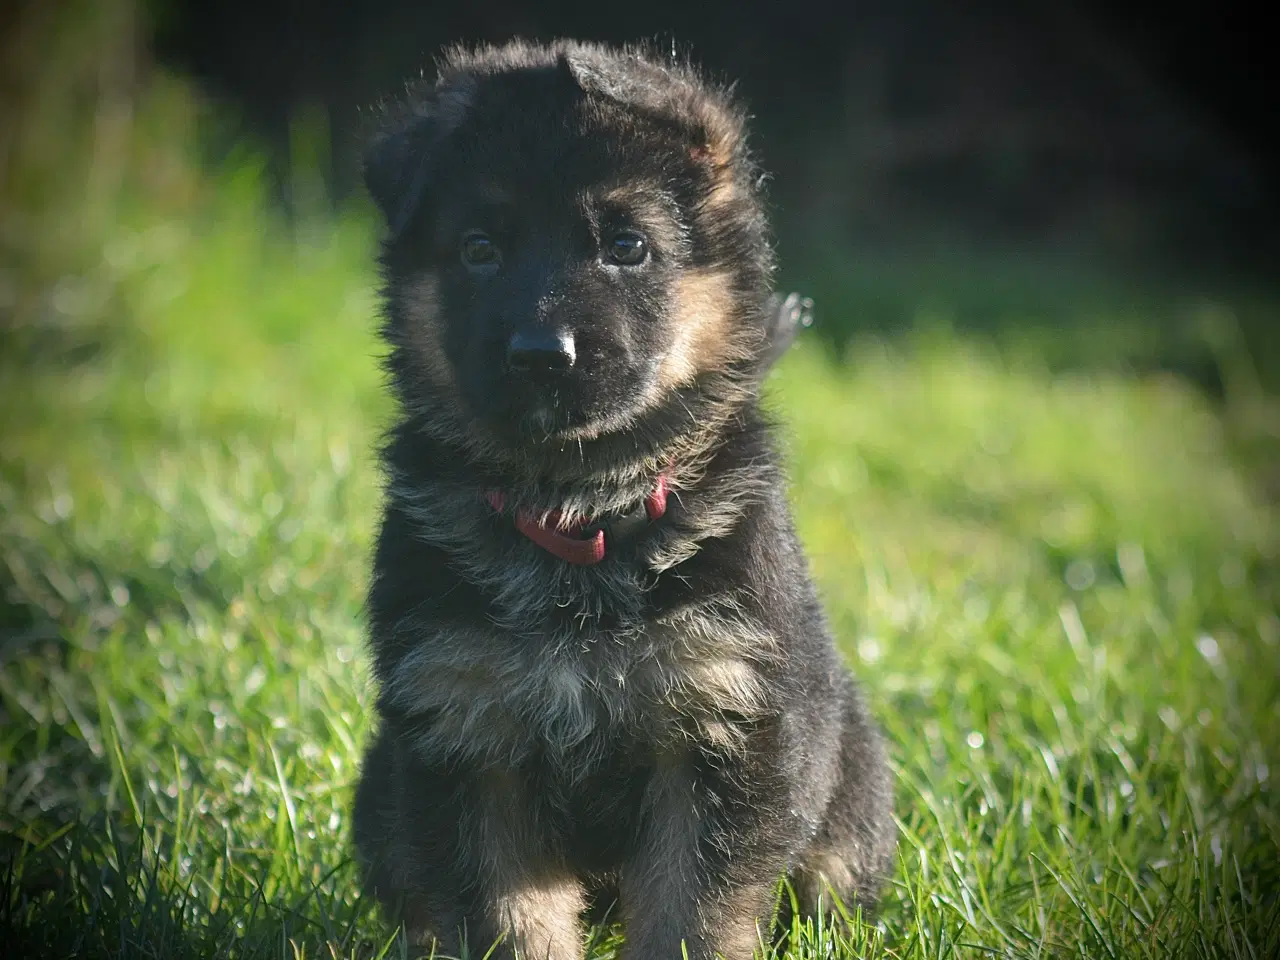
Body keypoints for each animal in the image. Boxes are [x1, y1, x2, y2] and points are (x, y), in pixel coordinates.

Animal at [350, 39, 890, 960]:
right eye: (480, 248)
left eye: (627, 246)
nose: (543, 353)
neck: (577, 516)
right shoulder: (464, 733)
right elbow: (508, 921)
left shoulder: (722, 727)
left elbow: (691, 915)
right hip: (381, 794)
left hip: (847, 791)